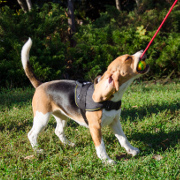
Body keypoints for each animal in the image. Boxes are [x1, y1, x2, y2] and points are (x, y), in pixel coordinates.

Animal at [21, 38, 149, 165]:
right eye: (128, 58)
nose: (142, 50)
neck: (110, 99)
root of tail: (40, 85)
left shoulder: (115, 121)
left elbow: (123, 138)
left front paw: (131, 150)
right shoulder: (95, 127)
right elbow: (101, 145)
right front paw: (106, 160)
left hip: (62, 117)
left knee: (58, 131)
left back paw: (68, 144)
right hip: (42, 118)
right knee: (31, 134)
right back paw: (38, 150)